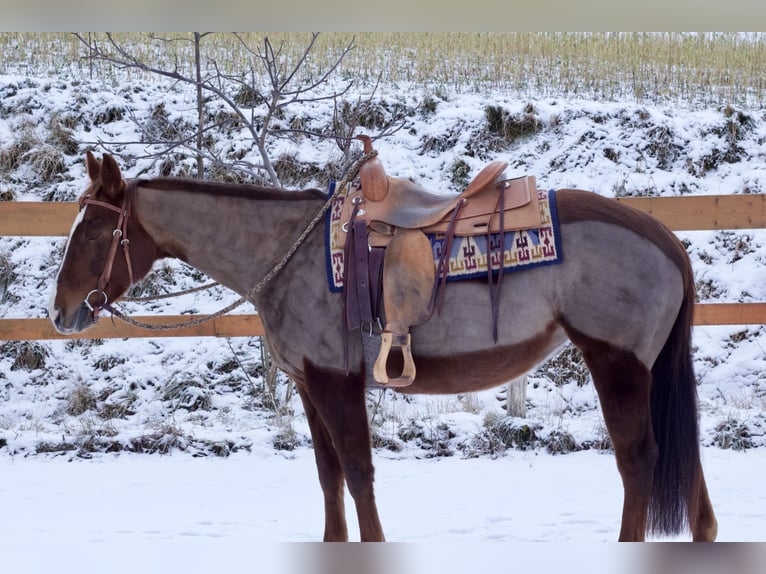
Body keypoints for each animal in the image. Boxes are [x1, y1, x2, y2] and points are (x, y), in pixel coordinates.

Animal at [48, 151, 718, 542]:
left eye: (97, 229)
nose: (60, 312)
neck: (284, 255)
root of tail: (667, 239)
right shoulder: (310, 386)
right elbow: (329, 477)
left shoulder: (335, 385)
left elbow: (358, 474)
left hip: (618, 364)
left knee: (639, 461)